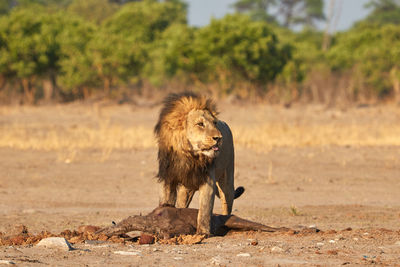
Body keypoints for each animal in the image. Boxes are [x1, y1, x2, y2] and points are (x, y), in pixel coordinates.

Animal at [154, 93, 244, 236]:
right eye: (200, 124)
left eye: (214, 123)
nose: (219, 138)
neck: (189, 156)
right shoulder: (168, 179)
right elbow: (166, 202)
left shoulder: (208, 182)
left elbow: (204, 210)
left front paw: (203, 232)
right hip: (185, 189)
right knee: (182, 203)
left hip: (228, 181)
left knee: (226, 203)